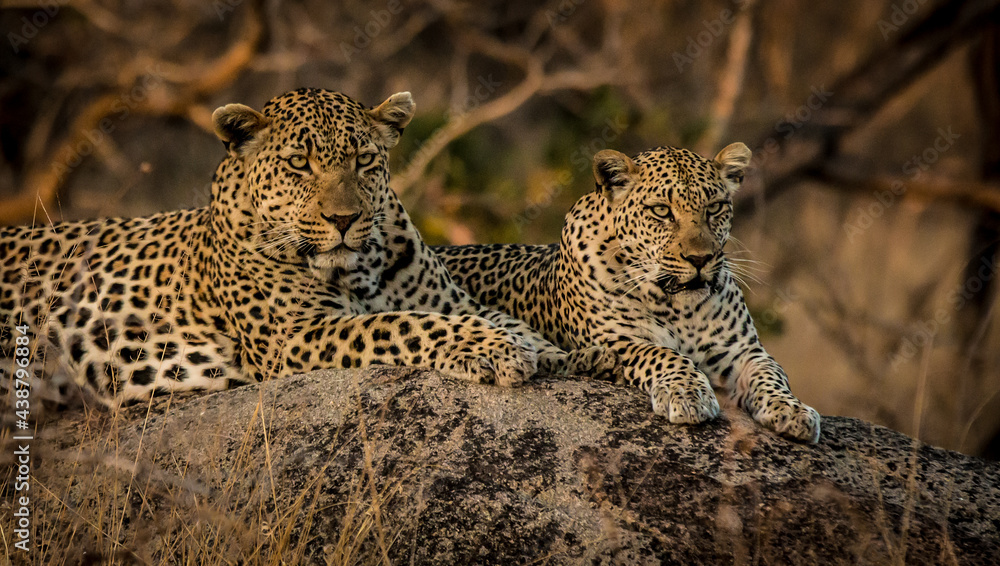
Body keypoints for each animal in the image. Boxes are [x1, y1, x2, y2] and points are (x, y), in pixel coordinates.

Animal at [0, 87, 613, 407]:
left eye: (364, 161)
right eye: (299, 164)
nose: (343, 219)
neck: (362, 267)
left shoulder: (454, 301)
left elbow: (502, 320)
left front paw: (554, 351)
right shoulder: (296, 335)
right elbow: (401, 324)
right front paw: (495, 352)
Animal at [434, 143, 821, 442]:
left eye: (714, 208)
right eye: (661, 211)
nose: (700, 259)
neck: (678, 306)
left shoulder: (743, 351)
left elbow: (771, 373)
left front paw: (793, 410)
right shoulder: (617, 340)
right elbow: (663, 354)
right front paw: (688, 393)